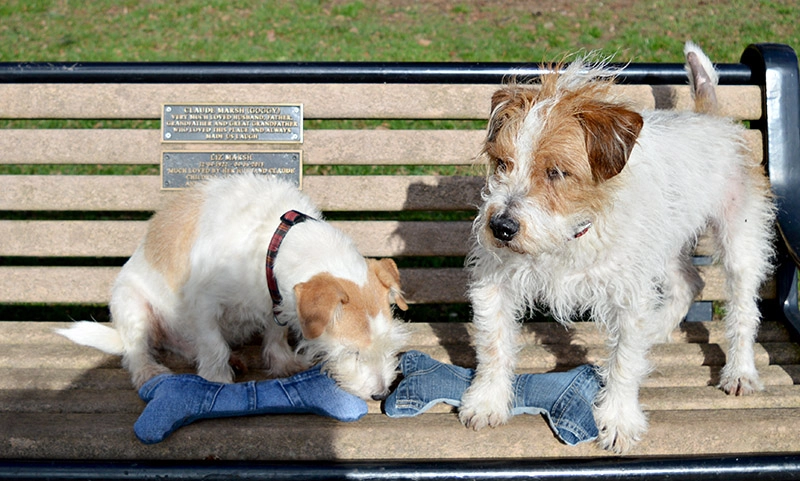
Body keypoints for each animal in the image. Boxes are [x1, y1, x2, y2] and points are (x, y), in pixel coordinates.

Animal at [57, 174, 410, 400]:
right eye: (352, 352)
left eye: (390, 344)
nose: (380, 394)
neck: (273, 240)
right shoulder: (203, 306)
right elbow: (213, 346)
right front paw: (217, 380)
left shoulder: (275, 301)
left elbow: (275, 335)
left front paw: (283, 363)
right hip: (131, 304)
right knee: (136, 351)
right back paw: (151, 371)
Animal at [462, 43, 776, 452]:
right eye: (502, 163)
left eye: (556, 172)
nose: (500, 227)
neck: (570, 236)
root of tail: (709, 116)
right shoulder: (494, 283)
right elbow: (493, 345)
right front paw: (487, 402)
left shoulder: (628, 296)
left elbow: (624, 362)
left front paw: (619, 420)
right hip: (663, 243)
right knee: (689, 282)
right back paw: (657, 329)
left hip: (739, 243)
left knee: (742, 311)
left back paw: (740, 371)